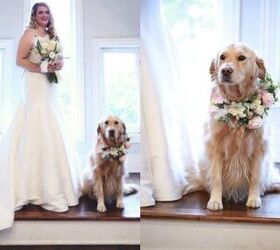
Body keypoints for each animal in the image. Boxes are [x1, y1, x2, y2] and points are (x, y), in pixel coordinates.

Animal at [185, 43, 278, 211]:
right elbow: (216, 178)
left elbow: (255, 177)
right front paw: (215, 201)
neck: (236, 101)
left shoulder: (258, 148)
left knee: (267, 181)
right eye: (222, 57)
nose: (225, 71)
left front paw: (253, 198)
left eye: (241, 57)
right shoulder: (216, 147)